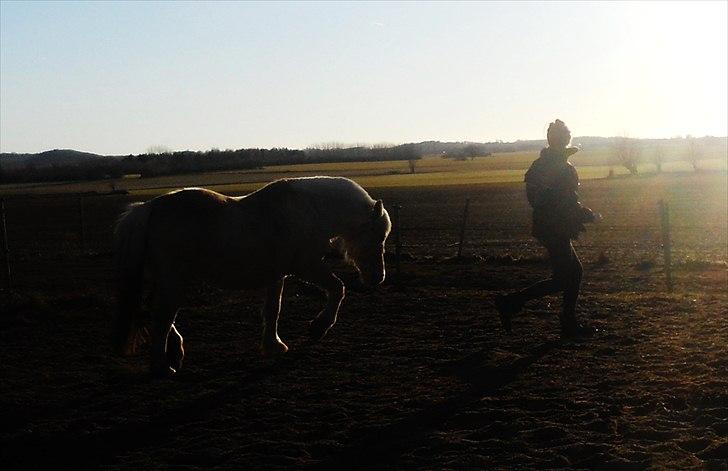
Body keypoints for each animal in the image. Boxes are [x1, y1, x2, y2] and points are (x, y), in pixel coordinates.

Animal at [112, 175, 392, 378]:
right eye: (378, 235)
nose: (378, 277)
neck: (310, 210)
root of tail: (148, 208)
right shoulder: (306, 267)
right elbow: (337, 288)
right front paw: (318, 328)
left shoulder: (278, 275)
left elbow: (273, 310)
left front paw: (273, 346)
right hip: (173, 279)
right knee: (161, 316)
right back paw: (162, 366)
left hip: (167, 279)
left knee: (153, 312)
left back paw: (175, 352)